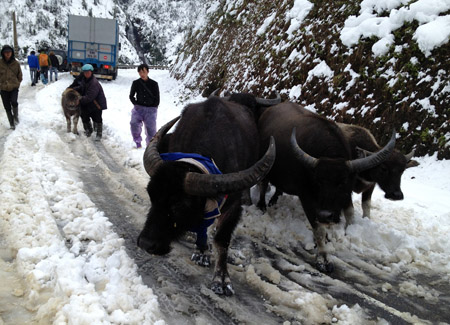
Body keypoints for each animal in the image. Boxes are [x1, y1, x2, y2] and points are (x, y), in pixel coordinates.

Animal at [139, 97, 276, 294]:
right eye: (152, 196)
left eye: (180, 204)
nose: (146, 243)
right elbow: (202, 228)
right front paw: (202, 251)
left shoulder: (233, 206)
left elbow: (222, 239)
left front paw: (222, 279)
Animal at [256, 102, 394, 272]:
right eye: (318, 180)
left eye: (342, 182)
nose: (325, 215)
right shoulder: (307, 198)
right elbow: (319, 229)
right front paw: (323, 258)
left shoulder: (341, 199)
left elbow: (338, 217)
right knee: (263, 184)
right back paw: (262, 205)